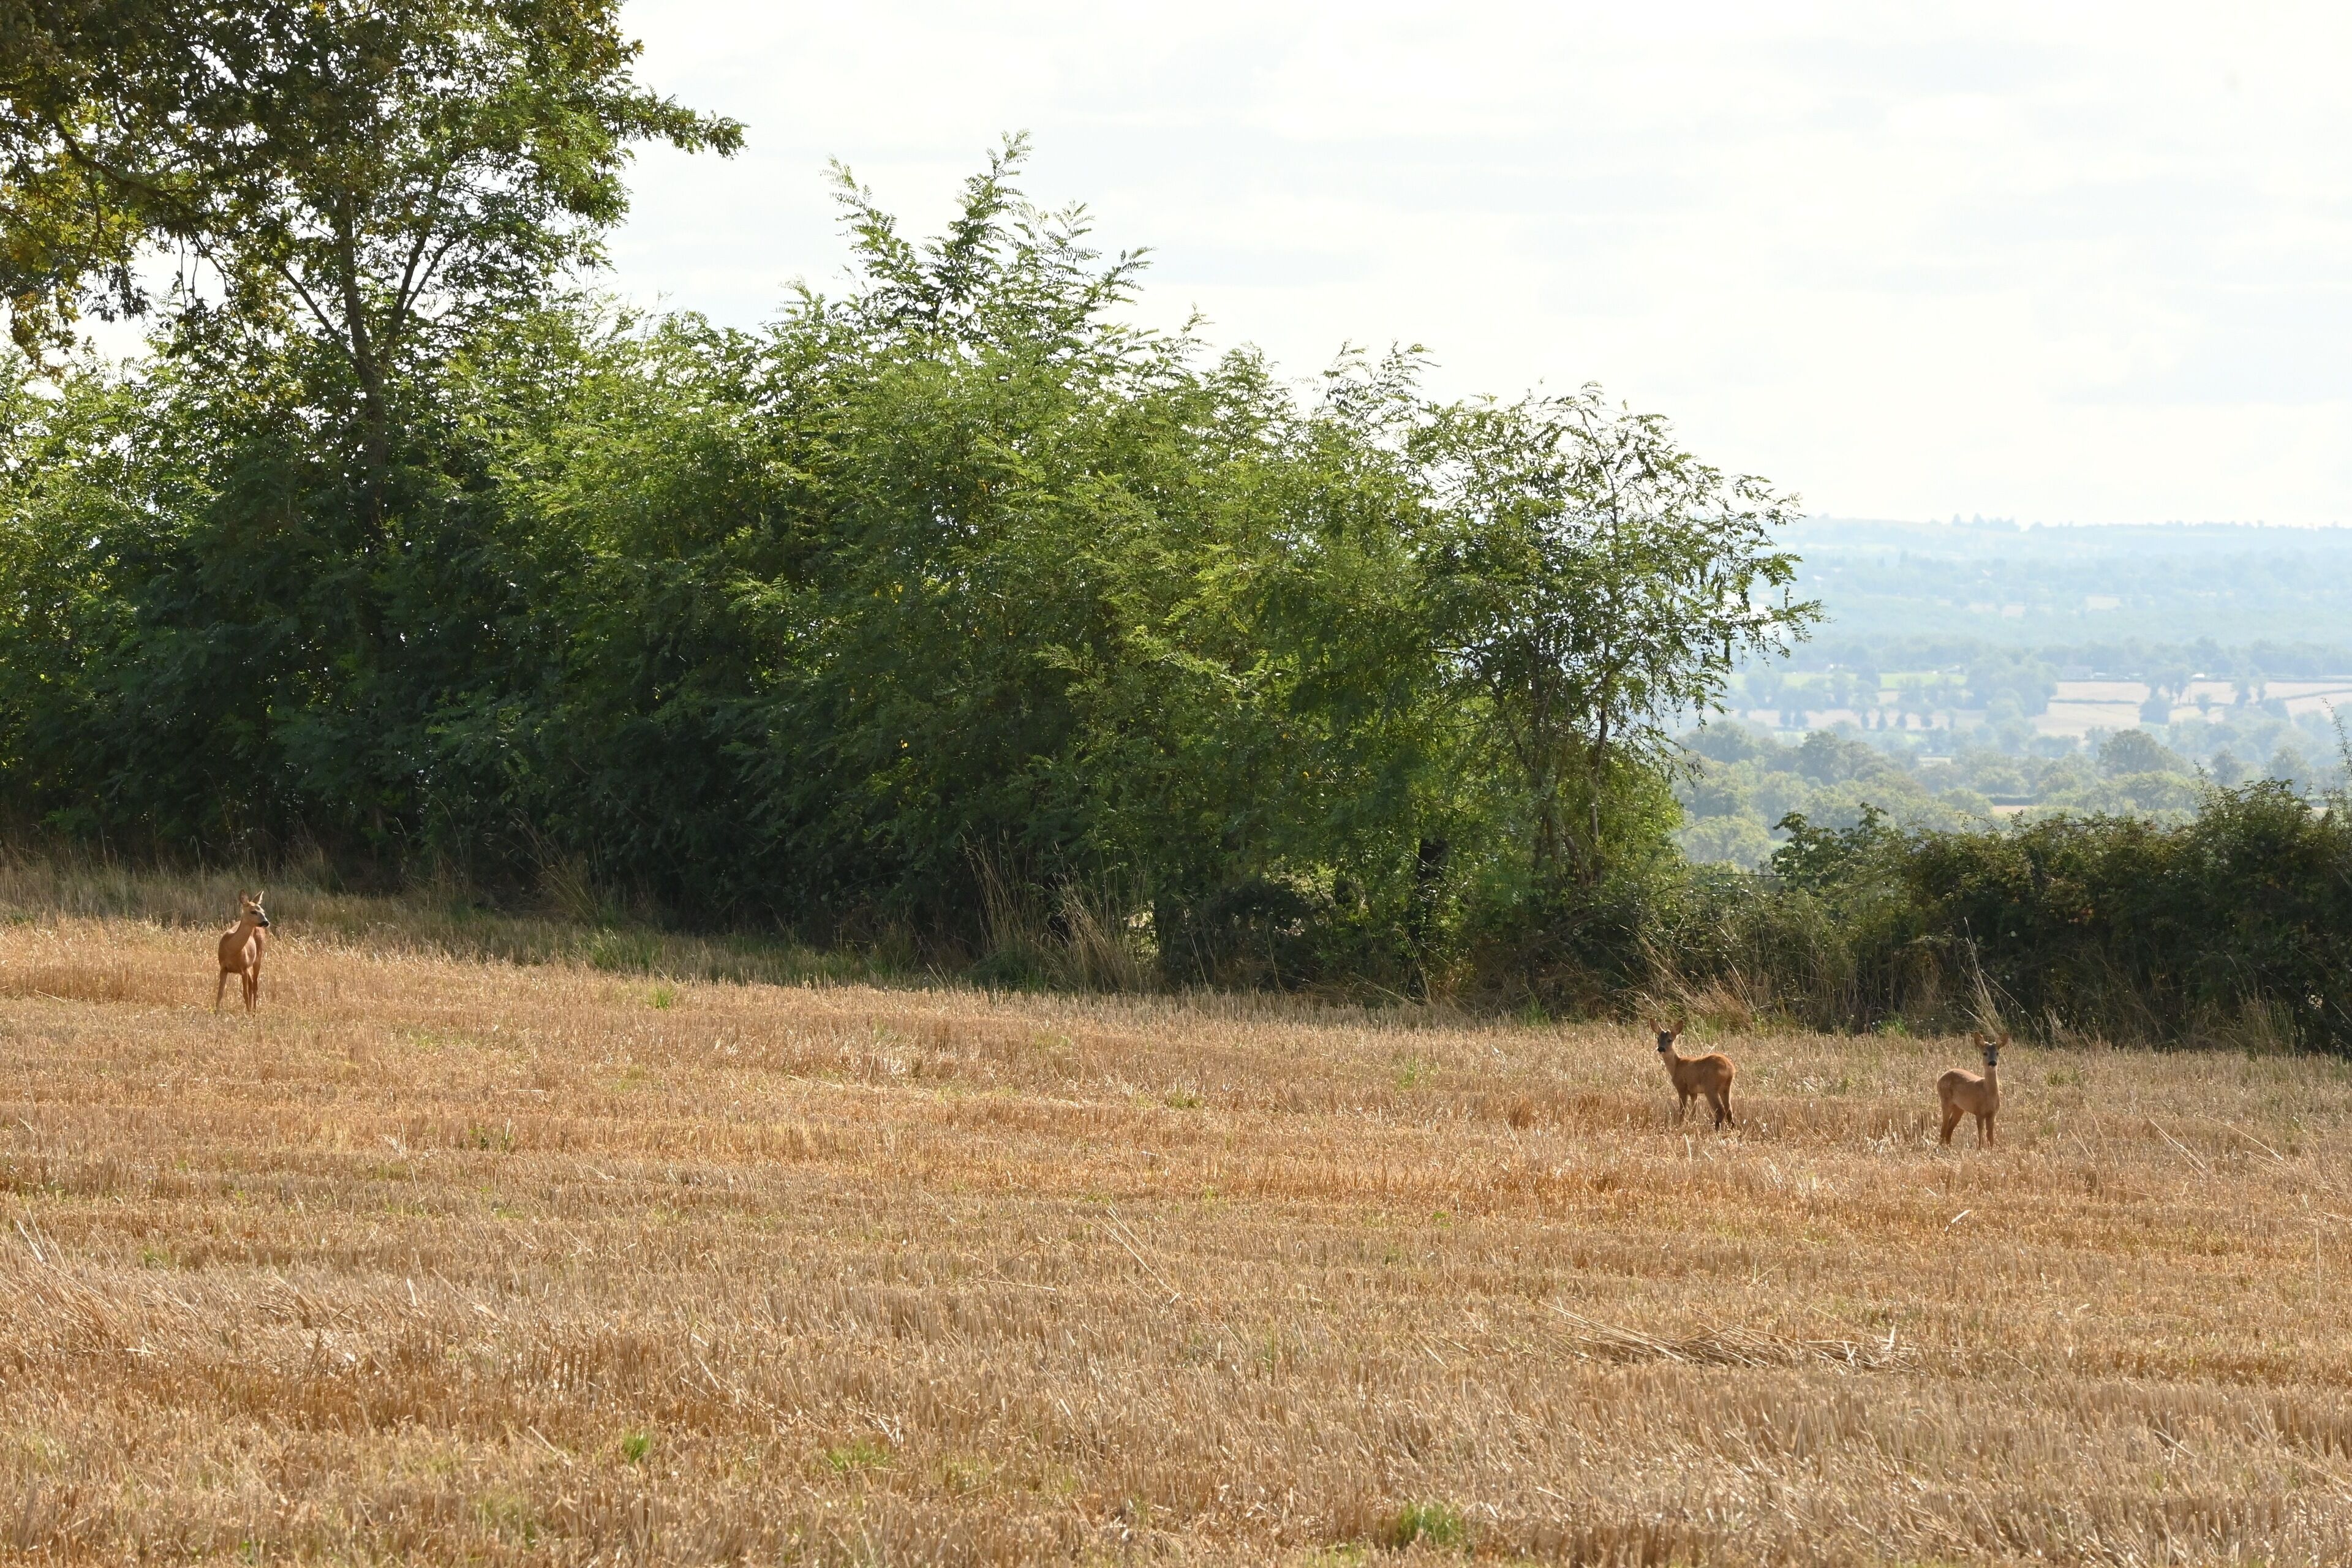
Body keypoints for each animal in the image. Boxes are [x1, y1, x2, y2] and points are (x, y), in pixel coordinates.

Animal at [214, 891, 271, 1013]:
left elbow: (245, 993)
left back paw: (254, 1012)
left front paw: (248, 1013)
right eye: (253, 911)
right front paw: (215, 1013)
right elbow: (220, 993)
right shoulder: (223, 967)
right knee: (252, 983)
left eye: (263, 911)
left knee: (255, 985)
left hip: (258, 957)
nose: (266, 922)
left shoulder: (243, 968)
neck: (231, 950)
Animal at [1655, 1023, 1736, 1129]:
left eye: (1670, 1040)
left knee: (1720, 1111)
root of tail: (1730, 1068)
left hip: (1710, 1087)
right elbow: (1694, 1113)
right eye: (1658, 1039)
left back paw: (1716, 1130)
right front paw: (1693, 1124)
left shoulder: (1682, 1087)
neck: (1676, 1065)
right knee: (1729, 1111)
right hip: (1726, 1087)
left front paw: (1679, 1126)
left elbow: (1682, 1111)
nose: (1661, 1049)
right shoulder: (1694, 1092)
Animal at [1938, 1030, 2004, 1147]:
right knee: (1944, 1128)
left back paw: (1949, 1147)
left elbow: (1990, 1136)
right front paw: (1979, 1148)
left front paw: (1992, 1149)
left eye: (1997, 1053)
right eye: (1985, 1053)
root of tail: (1940, 1078)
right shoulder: (1979, 1112)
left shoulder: (1993, 1114)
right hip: (1945, 1100)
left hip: (1959, 1107)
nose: (1993, 1063)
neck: (1987, 1093)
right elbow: (1981, 1133)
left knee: (1949, 1129)